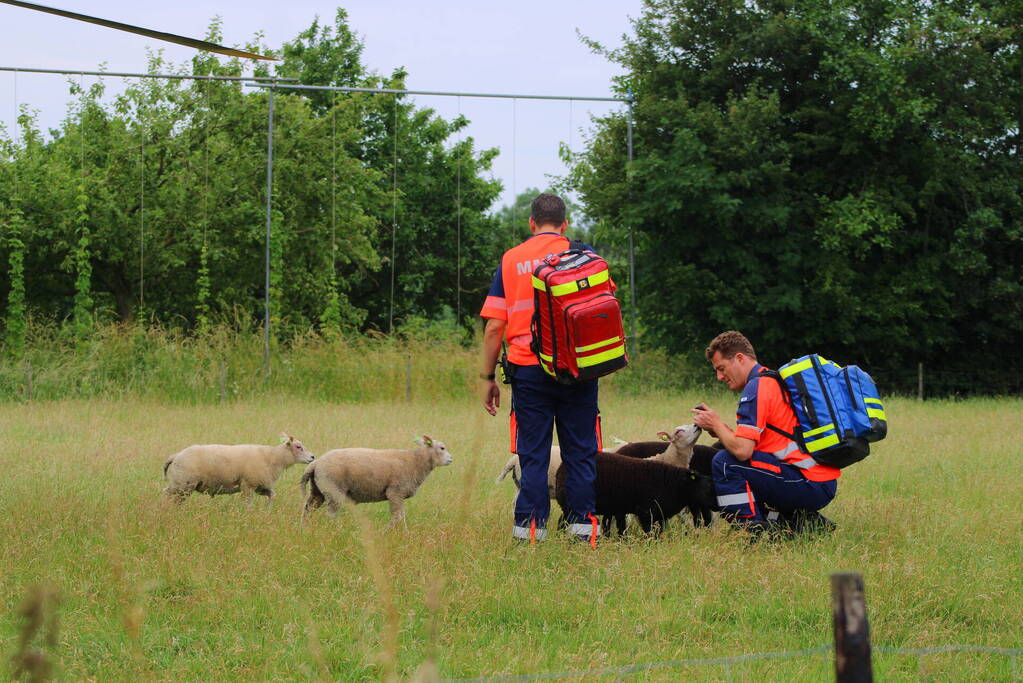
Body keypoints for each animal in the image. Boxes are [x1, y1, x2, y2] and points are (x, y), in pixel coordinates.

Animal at [161, 435, 313, 505]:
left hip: (183, 486)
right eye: (298, 447)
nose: (312, 457)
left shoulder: (259, 486)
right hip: (183, 483)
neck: (273, 457)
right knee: (166, 494)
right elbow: (248, 503)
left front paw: (267, 510)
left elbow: (272, 495)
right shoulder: (248, 485)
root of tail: (175, 456)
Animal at [298, 435, 452, 527]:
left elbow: (401, 517)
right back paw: (338, 529)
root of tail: (316, 463)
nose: (451, 459)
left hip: (318, 491)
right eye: (442, 448)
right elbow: (398, 517)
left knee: (307, 509)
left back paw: (304, 527)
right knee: (331, 514)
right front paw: (388, 531)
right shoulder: (395, 492)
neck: (416, 461)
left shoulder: (398, 495)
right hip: (334, 490)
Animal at [556, 449, 716, 535]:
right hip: (570, 505)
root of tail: (561, 469)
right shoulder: (645, 512)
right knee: (562, 522)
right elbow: (649, 532)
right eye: (707, 487)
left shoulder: (659, 515)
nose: (718, 505)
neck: (675, 484)